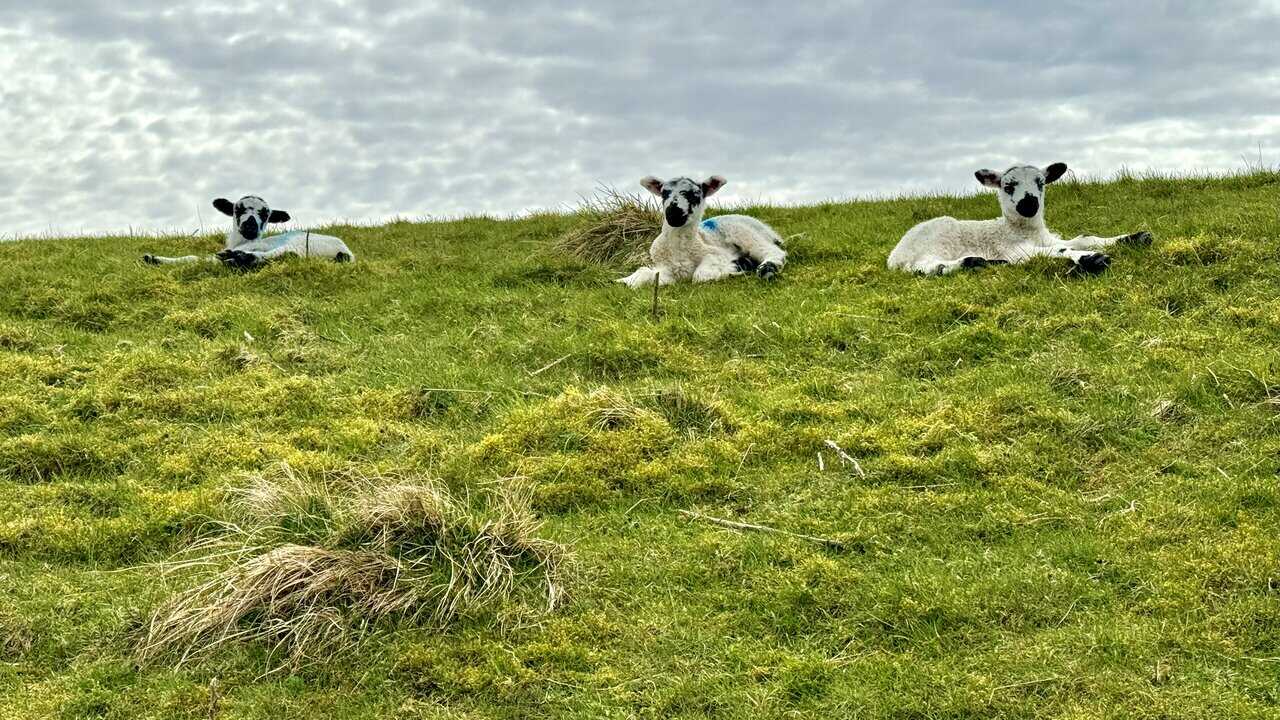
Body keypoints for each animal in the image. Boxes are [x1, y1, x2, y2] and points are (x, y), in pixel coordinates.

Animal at [143, 196, 354, 268]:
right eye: (238, 209)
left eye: (266, 213)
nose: (250, 225)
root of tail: (346, 252)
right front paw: (154, 259)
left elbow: (197, 258)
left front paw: (154, 258)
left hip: (301, 243)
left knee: (287, 253)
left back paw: (242, 259)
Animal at [618, 176, 787, 289]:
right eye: (664, 193)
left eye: (696, 194)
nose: (673, 214)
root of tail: (766, 228)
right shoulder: (665, 268)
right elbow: (644, 273)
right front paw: (624, 280)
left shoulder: (717, 254)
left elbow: (700, 276)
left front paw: (737, 266)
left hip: (744, 233)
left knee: (772, 251)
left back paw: (766, 269)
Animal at [888, 163, 1152, 276]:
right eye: (1008, 186)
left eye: (1041, 183)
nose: (1029, 203)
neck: (1021, 230)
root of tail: (895, 255)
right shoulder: (1014, 248)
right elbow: (1060, 251)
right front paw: (1091, 259)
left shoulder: (1049, 239)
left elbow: (1085, 237)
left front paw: (1136, 237)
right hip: (932, 247)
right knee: (926, 267)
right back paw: (970, 262)